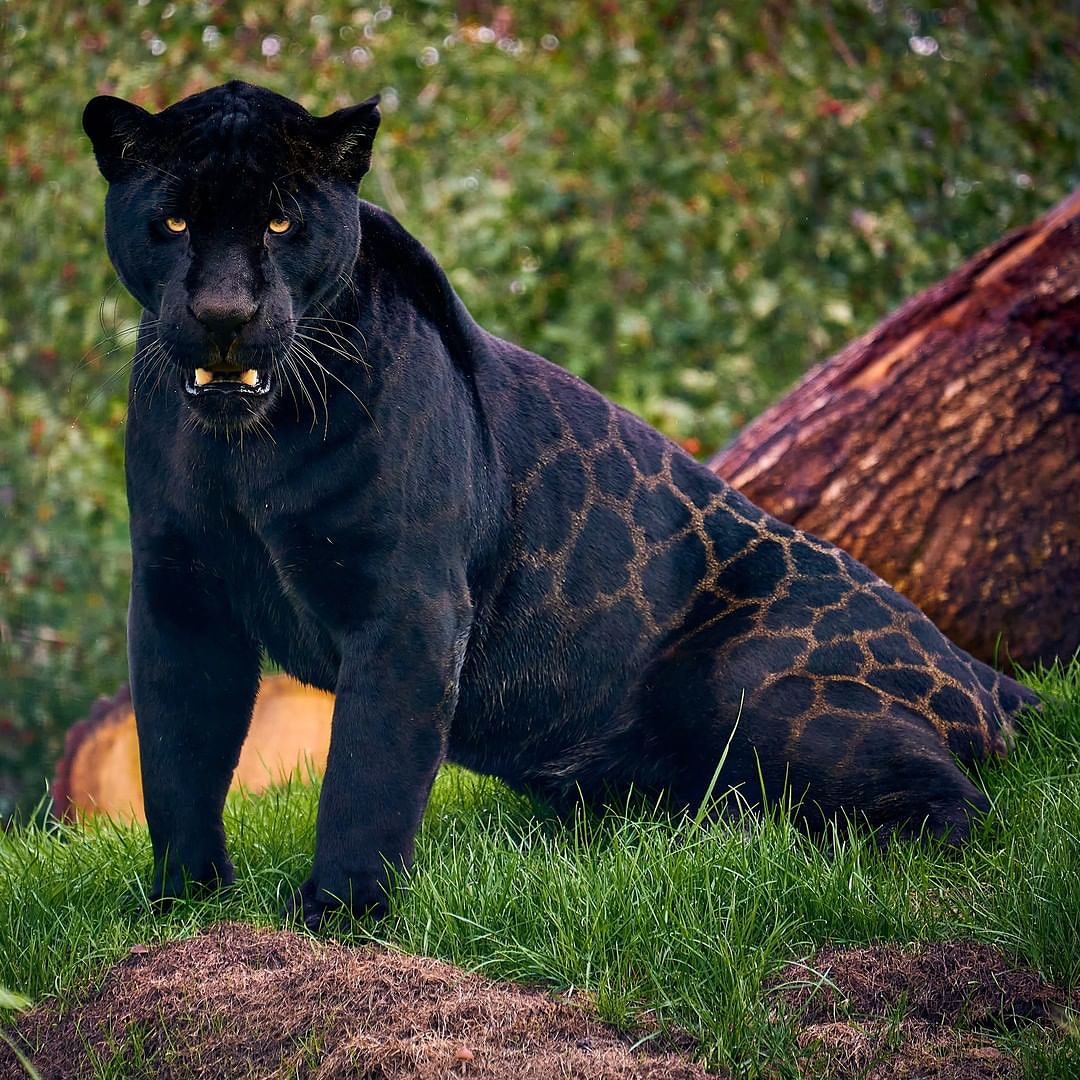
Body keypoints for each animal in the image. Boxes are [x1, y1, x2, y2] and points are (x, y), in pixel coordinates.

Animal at [83, 81, 1035, 927]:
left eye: (281, 223)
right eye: (174, 221)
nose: (224, 313)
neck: (247, 452)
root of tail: (985, 671)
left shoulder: (406, 606)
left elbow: (365, 767)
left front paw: (339, 913)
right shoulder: (178, 595)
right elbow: (177, 757)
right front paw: (183, 903)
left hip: (743, 684)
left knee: (962, 809)